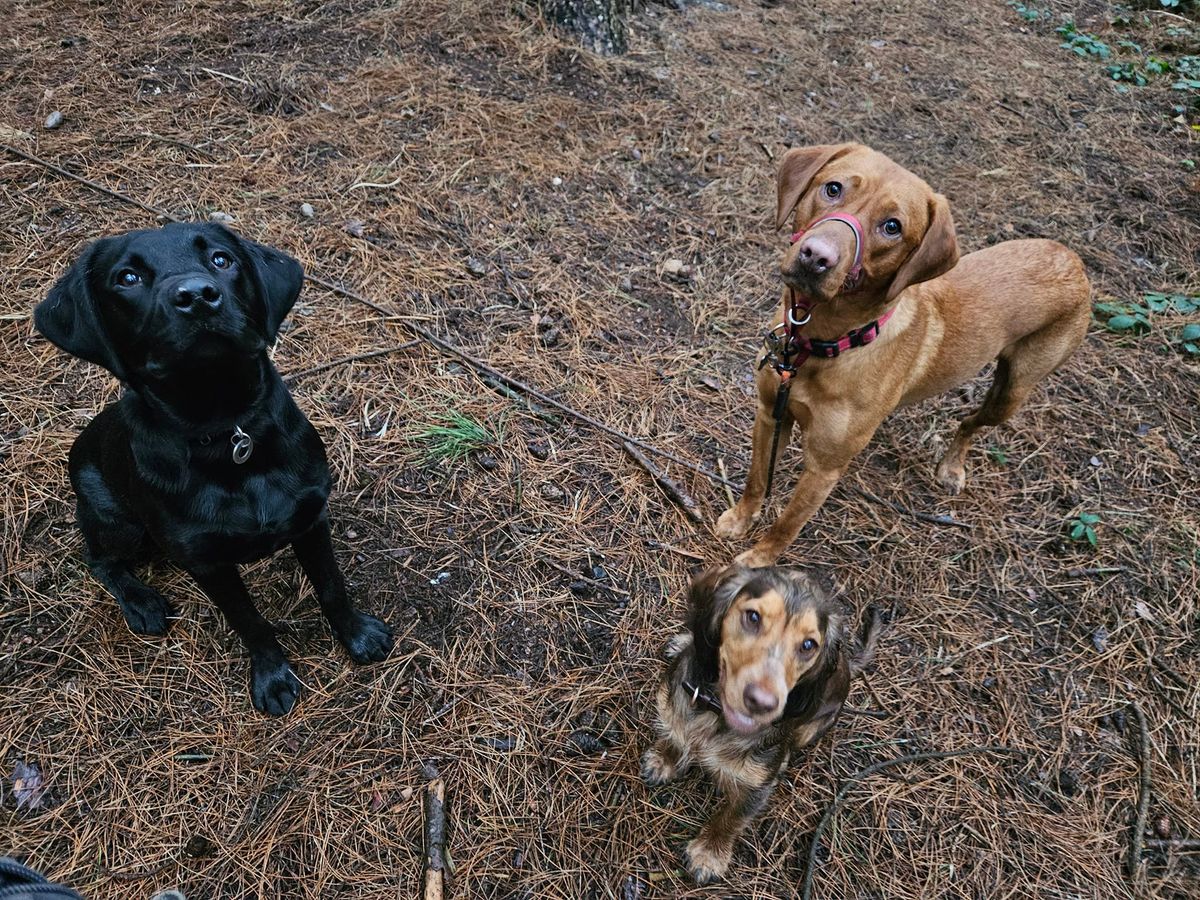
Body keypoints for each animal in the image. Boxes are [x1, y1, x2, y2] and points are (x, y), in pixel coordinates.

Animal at [36, 222, 393, 715]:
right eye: (127, 278)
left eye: (222, 260)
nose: (197, 296)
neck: (227, 432)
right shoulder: (209, 565)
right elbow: (250, 622)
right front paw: (272, 678)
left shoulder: (310, 519)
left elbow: (332, 586)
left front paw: (358, 635)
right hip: (116, 520)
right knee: (100, 560)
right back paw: (142, 603)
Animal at [638, 566, 883, 883]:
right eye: (753, 617)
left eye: (808, 645)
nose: (762, 702)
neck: (715, 717)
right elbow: (676, 734)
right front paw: (664, 759)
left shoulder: (756, 787)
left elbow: (730, 819)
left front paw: (709, 854)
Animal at [715, 142, 1094, 564]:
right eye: (833, 188)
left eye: (892, 226)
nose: (816, 257)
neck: (820, 344)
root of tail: (1074, 261)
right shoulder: (771, 414)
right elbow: (756, 479)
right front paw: (739, 520)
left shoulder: (824, 468)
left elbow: (788, 523)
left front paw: (759, 559)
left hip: (1012, 393)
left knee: (969, 422)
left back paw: (951, 467)